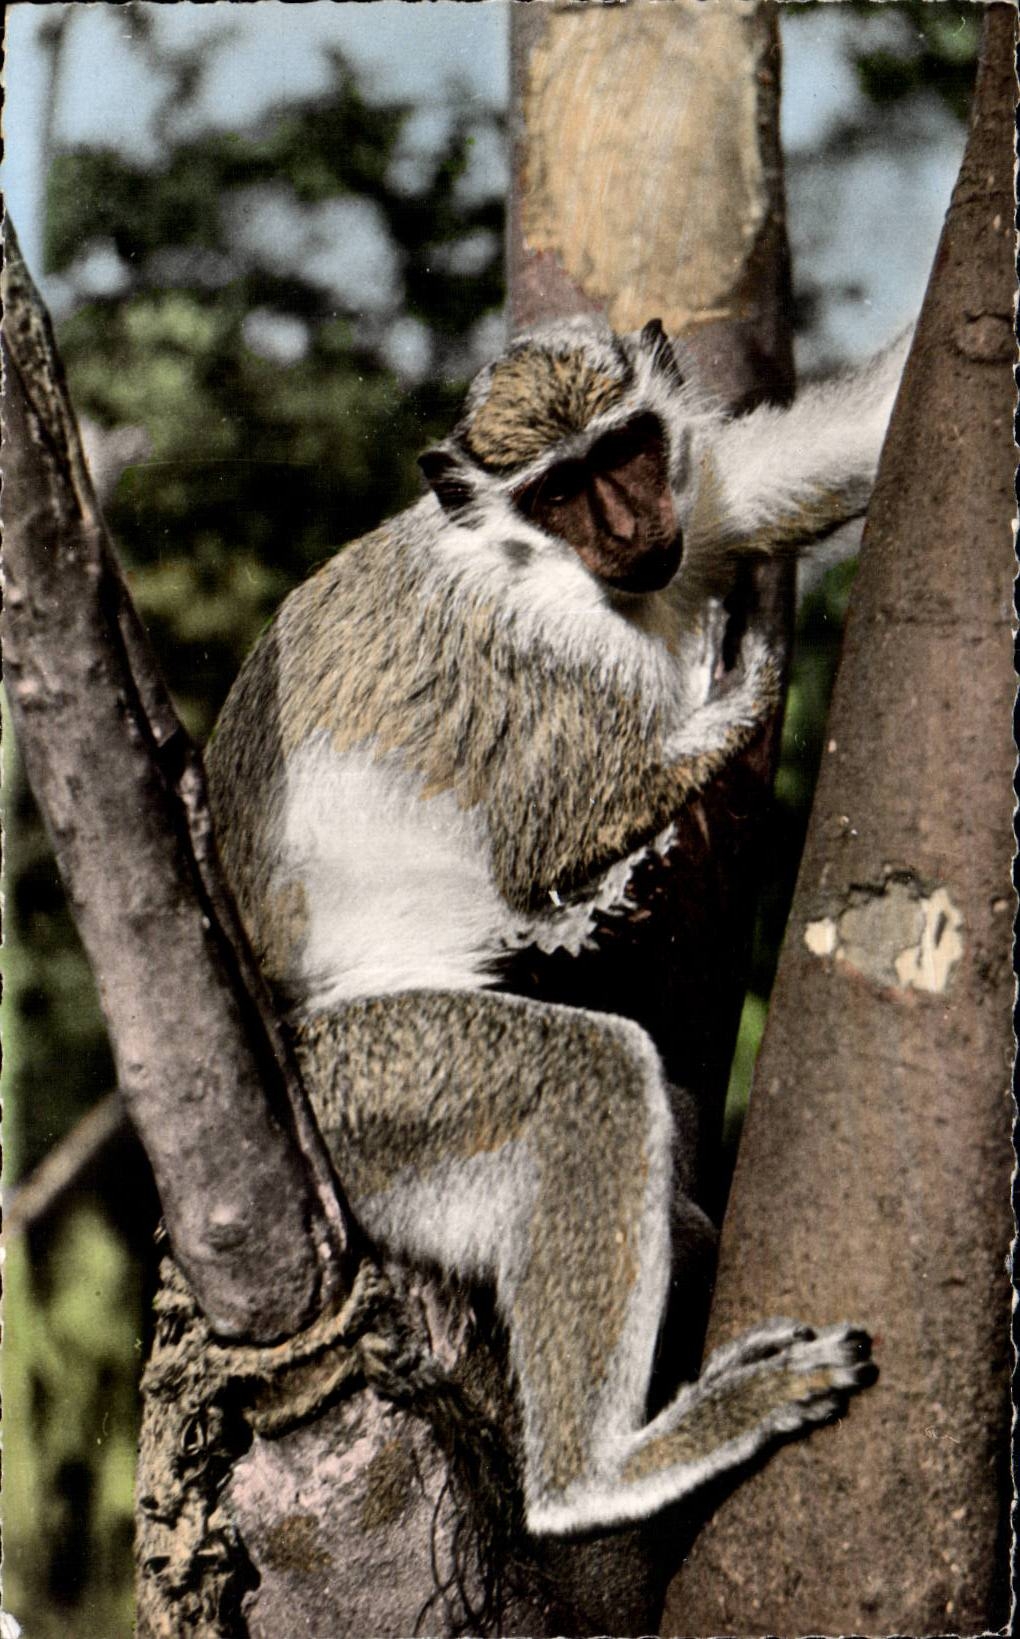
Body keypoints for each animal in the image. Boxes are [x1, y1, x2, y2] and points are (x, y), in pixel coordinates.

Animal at [205, 315, 906, 1536]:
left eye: (623, 453)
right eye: (561, 491)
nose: (629, 529)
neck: (557, 569)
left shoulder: (702, 498)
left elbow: (821, 456)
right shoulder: (560, 662)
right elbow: (548, 841)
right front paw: (742, 678)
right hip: (357, 1098)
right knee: (587, 1081)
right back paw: (602, 1473)